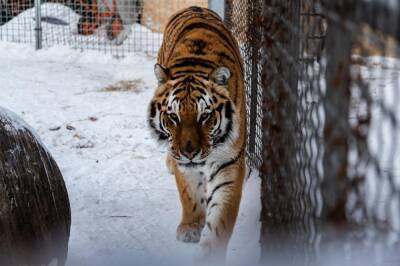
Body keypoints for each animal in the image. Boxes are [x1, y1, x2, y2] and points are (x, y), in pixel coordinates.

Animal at [148, 6, 247, 260]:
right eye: (173, 117)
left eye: (205, 116)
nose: (189, 152)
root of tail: (195, 7)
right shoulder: (185, 165)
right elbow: (190, 195)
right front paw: (191, 227)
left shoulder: (229, 162)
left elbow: (221, 216)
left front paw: (210, 253)